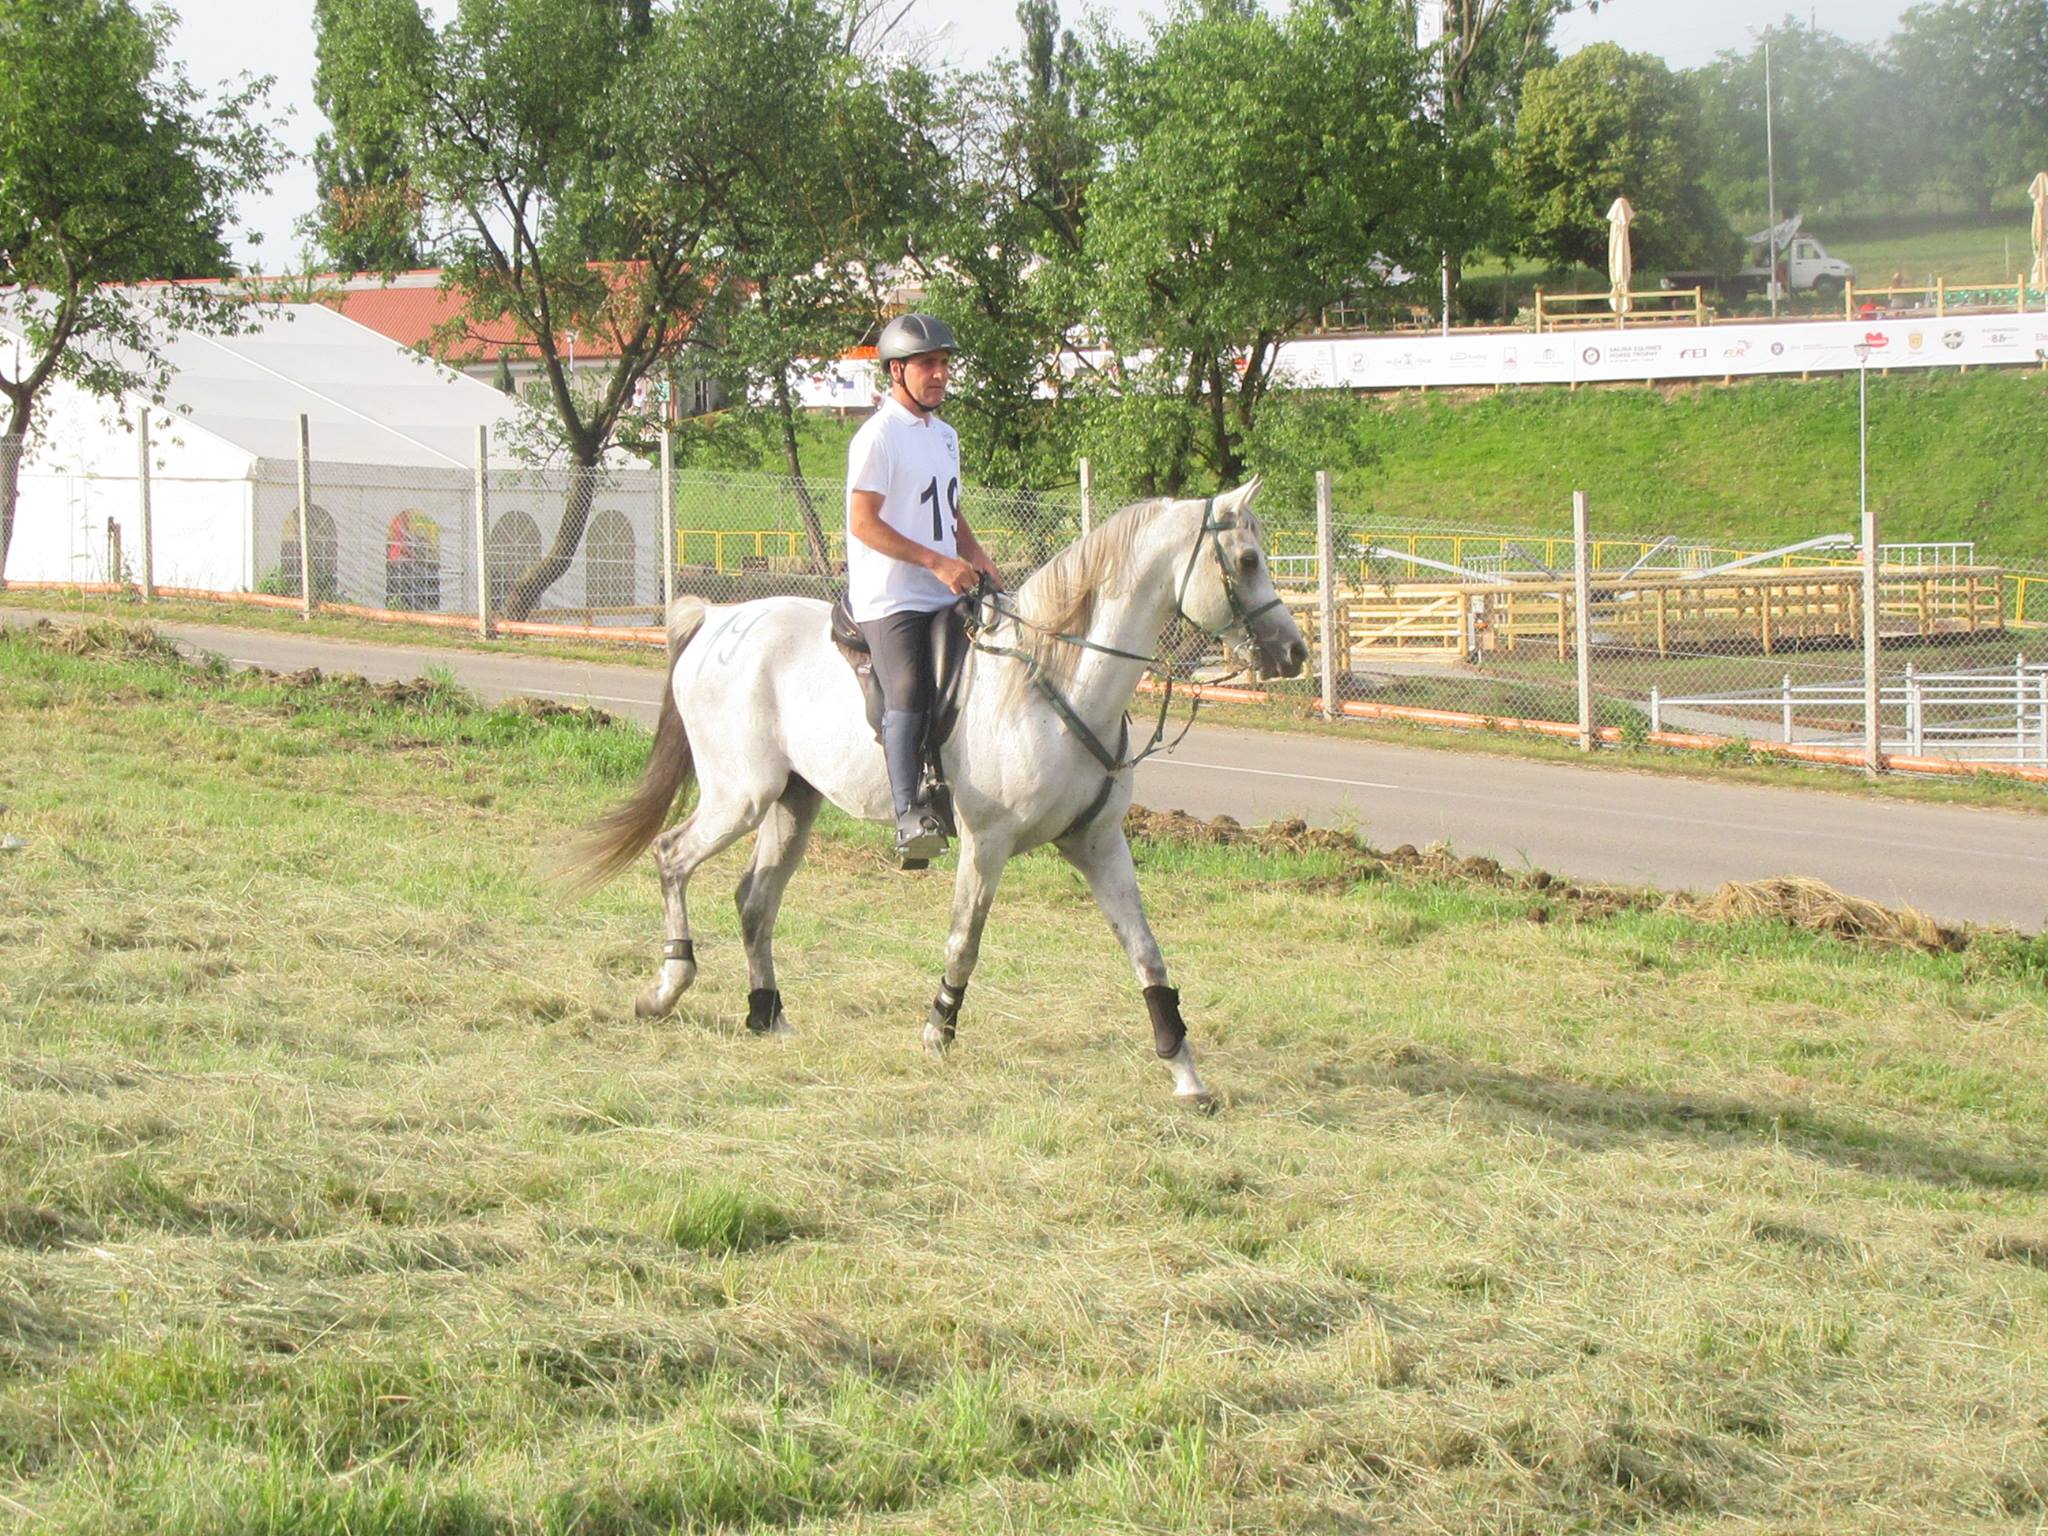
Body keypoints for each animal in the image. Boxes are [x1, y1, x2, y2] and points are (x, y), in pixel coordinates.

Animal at [561, 481, 1302, 1105]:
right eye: (1247, 560)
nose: (1292, 653)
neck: (1054, 678)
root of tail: (716, 619)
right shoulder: (987, 843)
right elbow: (964, 941)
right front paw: (937, 1031)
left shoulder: (1098, 844)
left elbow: (1146, 952)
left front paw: (1185, 1071)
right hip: (738, 797)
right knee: (672, 857)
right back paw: (666, 988)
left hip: (793, 803)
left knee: (754, 901)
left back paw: (766, 1015)